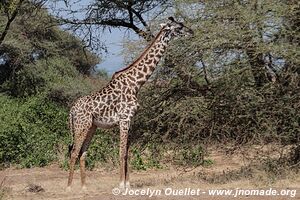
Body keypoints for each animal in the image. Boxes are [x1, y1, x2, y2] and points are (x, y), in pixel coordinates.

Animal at [66, 17, 193, 191]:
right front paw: (121, 185)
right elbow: (122, 152)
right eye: (179, 27)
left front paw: (128, 184)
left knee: (82, 152)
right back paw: (69, 187)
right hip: (81, 125)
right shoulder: (124, 119)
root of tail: (71, 109)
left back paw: (84, 187)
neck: (136, 83)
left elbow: (128, 152)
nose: (191, 31)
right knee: (74, 151)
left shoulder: (131, 119)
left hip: (91, 127)